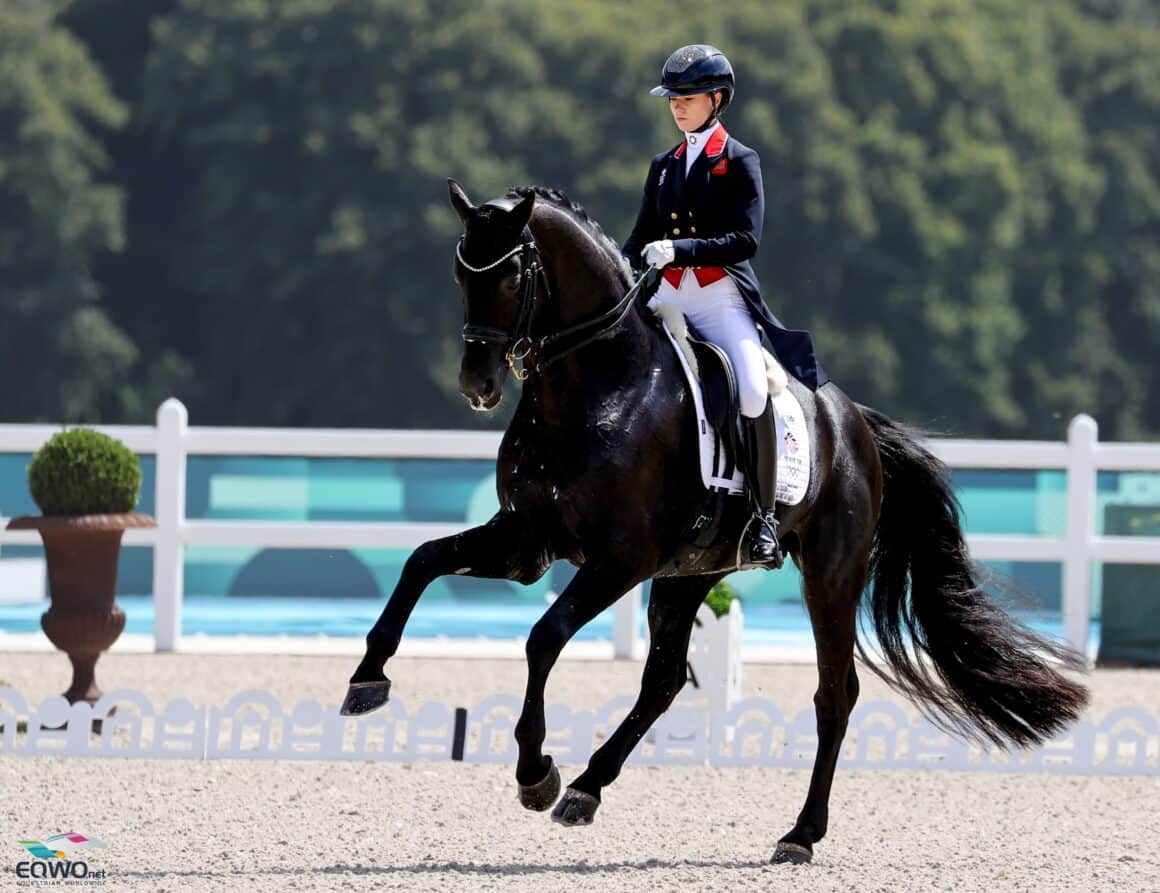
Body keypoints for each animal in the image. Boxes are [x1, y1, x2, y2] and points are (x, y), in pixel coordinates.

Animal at [341, 180, 1085, 862]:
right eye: (461, 272)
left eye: (511, 273)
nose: (479, 386)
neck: (595, 386)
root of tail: (852, 420)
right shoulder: (527, 540)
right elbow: (422, 560)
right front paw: (367, 680)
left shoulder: (619, 558)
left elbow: (543, 637)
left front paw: (534, 772)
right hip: (692, 573)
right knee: (666, 680)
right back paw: (588, 788)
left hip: (829, 574)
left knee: (834, 694)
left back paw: (798, 834)